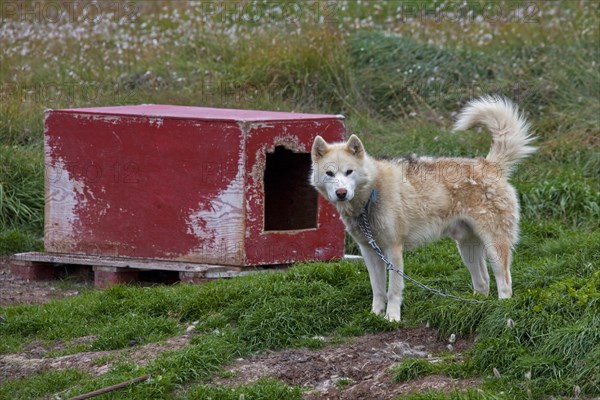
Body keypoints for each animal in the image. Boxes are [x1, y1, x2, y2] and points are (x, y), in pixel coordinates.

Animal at [310, 95, 536, 320]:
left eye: (349, 171)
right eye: (330, 173)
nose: (341, 193)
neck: (370, 197)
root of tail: (489, 164)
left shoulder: (393, 250)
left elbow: (393, 290)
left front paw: (392, 318)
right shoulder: (369, 252)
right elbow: (378, 290)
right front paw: (375, 315)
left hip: (494, 247)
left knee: (504, 282)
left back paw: (501, 309)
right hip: (467, 248)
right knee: (483, 282)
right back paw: (474, 308)